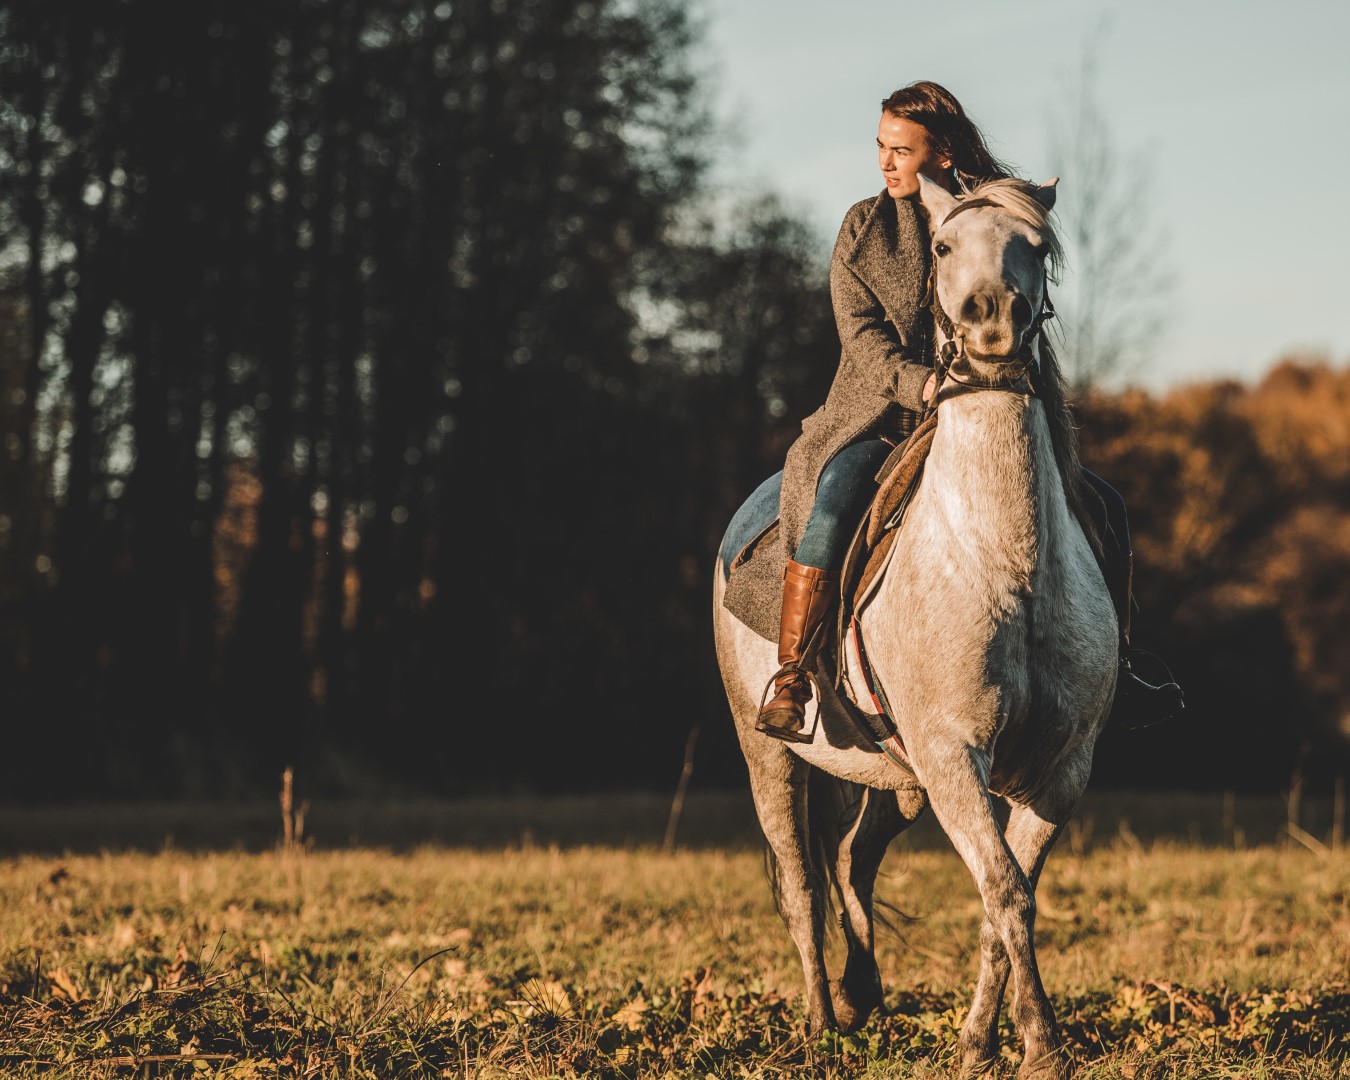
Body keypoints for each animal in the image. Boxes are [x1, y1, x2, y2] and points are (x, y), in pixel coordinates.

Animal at [712, 172, 1112, 1074]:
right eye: (943, 245)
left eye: (1036, 243)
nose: (991, 321)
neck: (1003, 558)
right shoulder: (953, 753)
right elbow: (1004, 892)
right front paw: (1041, 1043)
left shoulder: (1058, 771)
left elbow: (1006, 904)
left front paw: (979, 1044)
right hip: (769, 756)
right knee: (802, 881)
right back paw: (822, 1024)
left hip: (897, 780)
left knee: (853, 860)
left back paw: (863, 996)